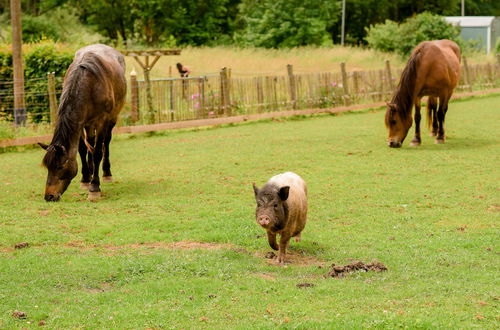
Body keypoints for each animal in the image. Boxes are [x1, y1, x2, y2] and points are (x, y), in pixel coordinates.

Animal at [38, 44, 126, 201]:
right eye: (48, 167)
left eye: (59, 167)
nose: (49, 196)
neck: (89, 83)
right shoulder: (79, 123)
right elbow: (82, 149)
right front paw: (85, 179)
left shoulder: (102, 121)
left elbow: (97, 152)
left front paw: (94, 188)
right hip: (88, 124)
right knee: (90, 142)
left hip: (112, 119)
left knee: (106, 143)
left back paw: (106, 173)